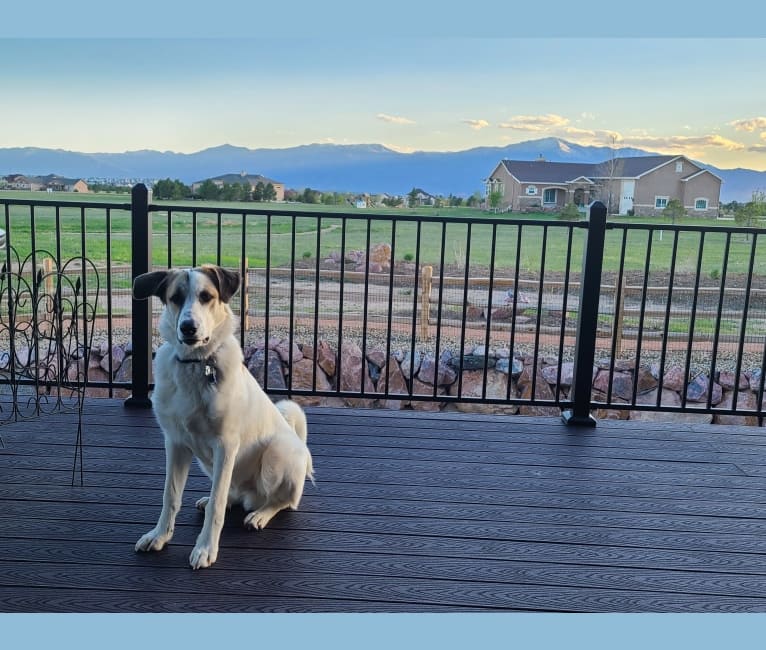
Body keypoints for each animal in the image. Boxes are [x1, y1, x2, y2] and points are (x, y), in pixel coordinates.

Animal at [133, 264, 316, 568]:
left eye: (206, 296)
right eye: (175, 297)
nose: (188, 327)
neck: (196, 364)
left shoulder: (226, 445)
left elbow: (217, 506)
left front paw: (206, 548)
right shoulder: (176, 443)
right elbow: (170, 496)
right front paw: (159, 536)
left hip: (277, 453)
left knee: (283, 500)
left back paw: (260, 514)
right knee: (230, 490)